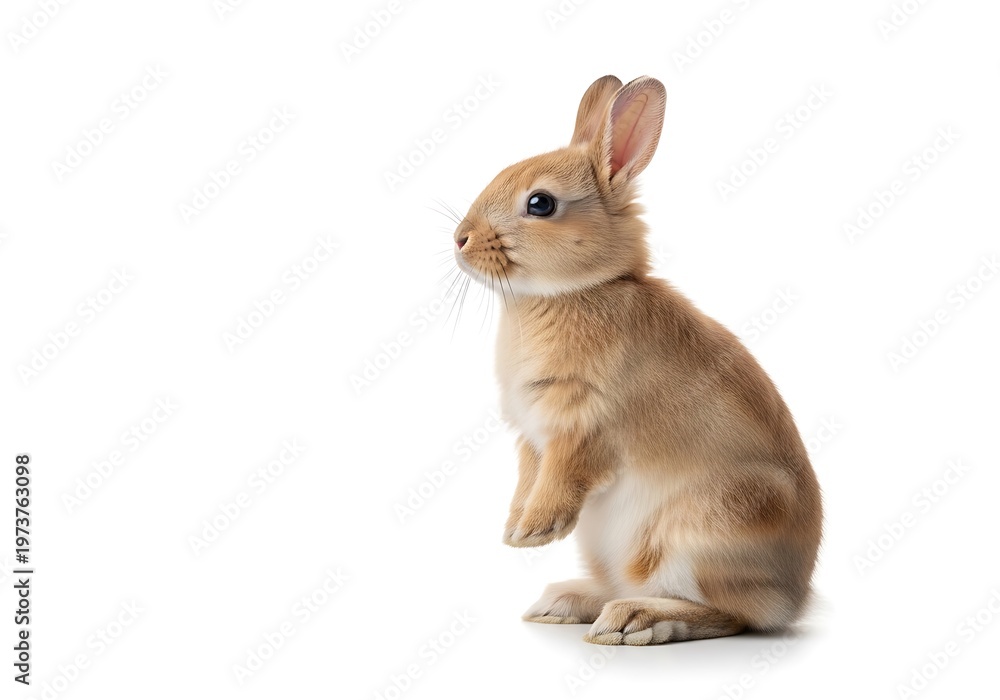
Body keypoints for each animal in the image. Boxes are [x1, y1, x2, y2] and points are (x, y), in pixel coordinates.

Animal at [451, 75, 822, 645]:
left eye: (540, 203)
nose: (459, 239)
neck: (576, 290)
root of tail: (794, 596)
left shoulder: (582, 424)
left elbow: (561, 475)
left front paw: (533, 532)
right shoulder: (533, 435)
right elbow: (529, 475)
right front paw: (515, 528)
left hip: (706, 527)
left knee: (730, 613)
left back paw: (633, 620)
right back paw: (566, 602)